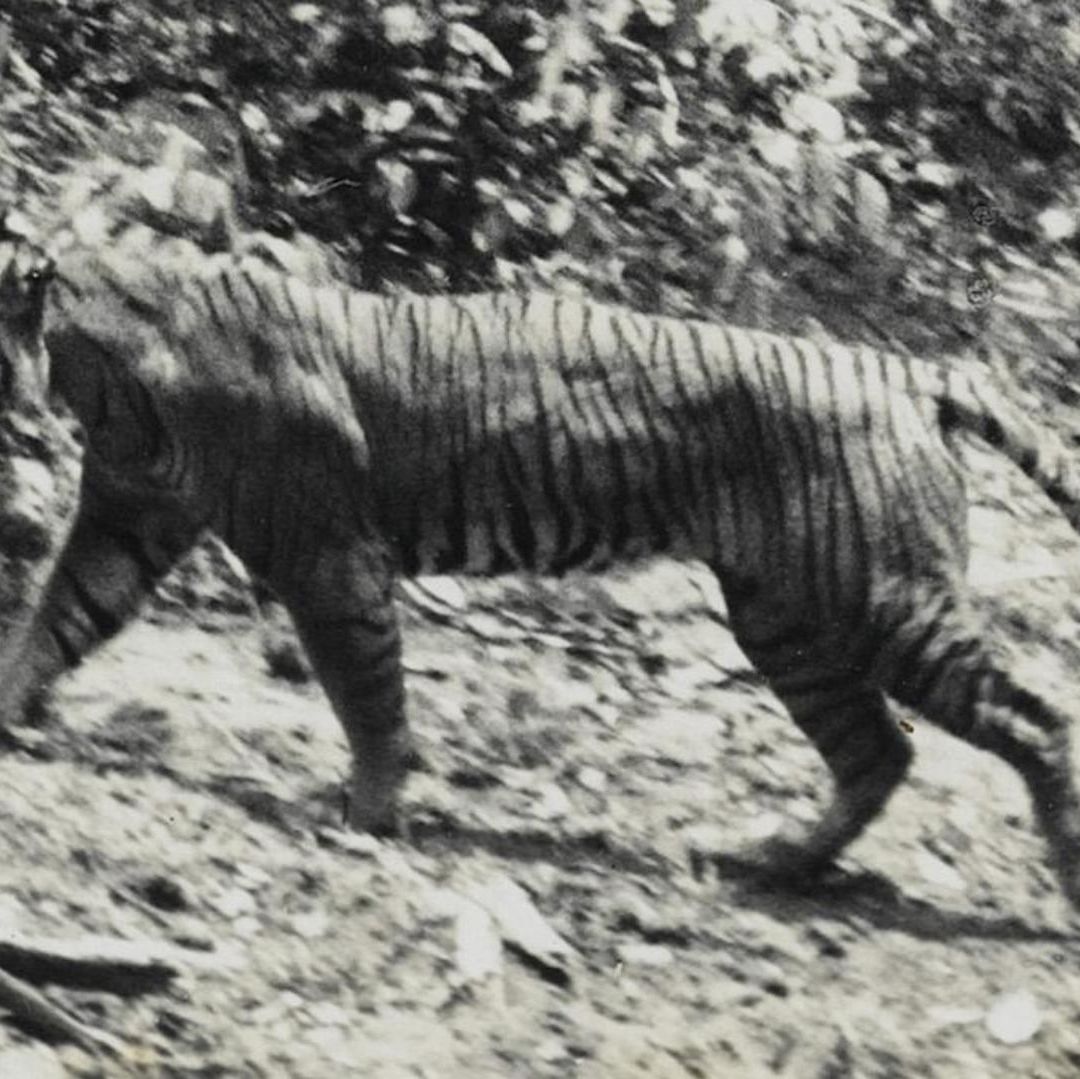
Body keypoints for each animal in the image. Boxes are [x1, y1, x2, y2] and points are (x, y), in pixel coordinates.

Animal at [3, 215, 1080, 910]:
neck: (100, 369)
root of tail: (903, 366)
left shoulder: (326, 557)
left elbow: (366, 690)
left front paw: (370, 811)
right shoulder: (125, 520)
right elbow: (54, 623)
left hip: (886, 600)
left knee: (1033, 716)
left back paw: (1058, 871)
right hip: (789, 621)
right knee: (876, 749)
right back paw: (775, 860)